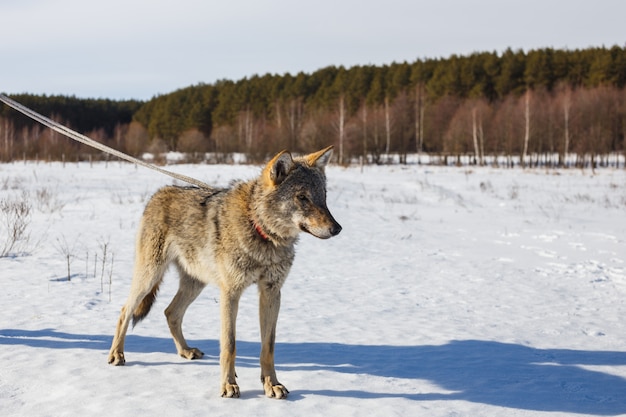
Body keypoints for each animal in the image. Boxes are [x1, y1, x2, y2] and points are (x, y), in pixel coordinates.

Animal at [108, 145, 342, 396]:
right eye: (302, 197)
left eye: (323, 197)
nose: (337, 228)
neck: (259, 229)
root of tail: (158, 193)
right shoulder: (230, 292)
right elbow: (230, 345)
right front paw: (229, 385)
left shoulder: (271, 292)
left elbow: (268, 346)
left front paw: (272, 384)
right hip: (150, 276)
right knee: (125, 310)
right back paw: (117, 354)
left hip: (194, 284)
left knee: (170, 312)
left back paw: (185, 351)